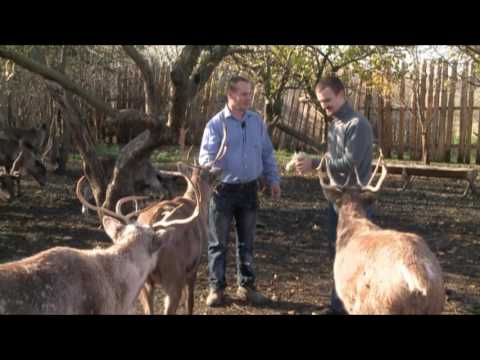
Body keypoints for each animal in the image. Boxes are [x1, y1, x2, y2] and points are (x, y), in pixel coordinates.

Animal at [116, 122, 229, 314]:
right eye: (211, 177)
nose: (220, 181)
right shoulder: (193, 265)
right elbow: (190, 302)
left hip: (144, 282)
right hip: (172, 275)